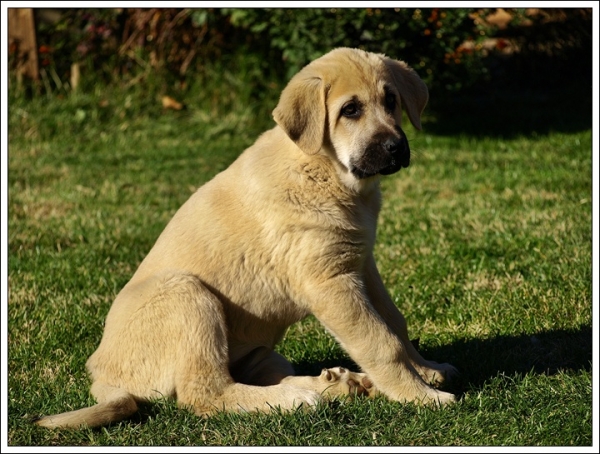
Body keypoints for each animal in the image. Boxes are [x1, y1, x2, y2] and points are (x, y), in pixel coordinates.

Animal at [35, 48, 458, 430]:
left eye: (391, 101)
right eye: (350, 110)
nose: (395, 147)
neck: (323, 169)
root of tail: (100, 374)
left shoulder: (361, 264)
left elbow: (394, 321)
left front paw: (426, 369)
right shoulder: (330, 282)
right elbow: (380, 341)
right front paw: (419, 395)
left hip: (253, 347)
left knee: (261, 370)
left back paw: (337, 385)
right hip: (186, 295)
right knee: (207, 394)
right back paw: (298, 399)